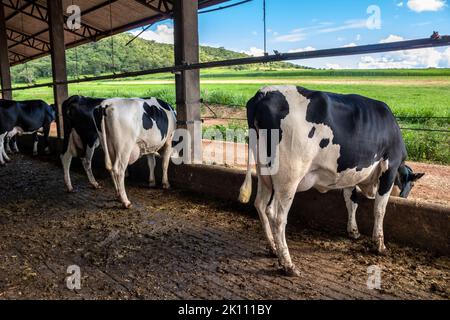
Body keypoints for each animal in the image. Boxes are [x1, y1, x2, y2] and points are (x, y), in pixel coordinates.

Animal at [237, 86, 424, 276]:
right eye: (412, 184)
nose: (405, 196)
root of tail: (265, 91)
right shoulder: (389, 167)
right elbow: (380, 209)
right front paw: (379, 245)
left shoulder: (351, 174)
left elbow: (351, 201)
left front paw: (353, 231)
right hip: (289, 176)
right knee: (276, 215)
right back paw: (288, 264)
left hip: (264, 172)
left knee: (260, 204)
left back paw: (273, 248)